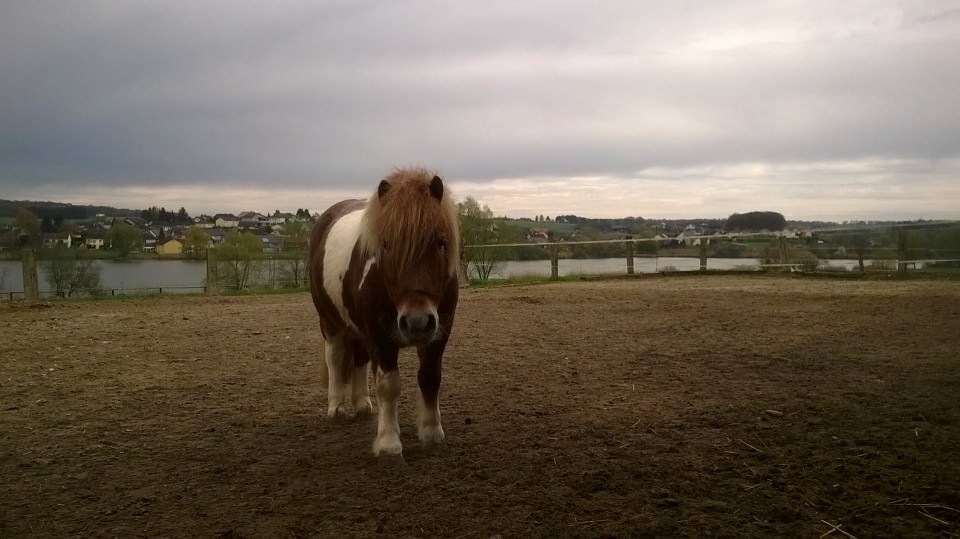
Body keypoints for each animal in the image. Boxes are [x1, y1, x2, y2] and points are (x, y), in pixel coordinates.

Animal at [306, 168, 460, 460]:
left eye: (441, 242)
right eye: (386, 245)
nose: (417, 322)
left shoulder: (439, 334)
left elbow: (430, 379)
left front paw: (432, 434)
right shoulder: (381, 337)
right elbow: (388, 386)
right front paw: (389, 444)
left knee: (360, 360)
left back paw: (362, 405)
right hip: (330, 322)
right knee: (335, 359)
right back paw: (337, 408)